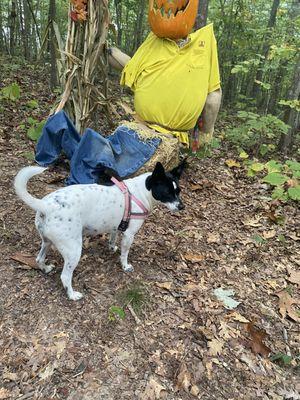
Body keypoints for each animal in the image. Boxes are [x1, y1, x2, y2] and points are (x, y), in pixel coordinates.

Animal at [15, 161, 186, 298]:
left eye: (178, 191)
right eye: (167, 192)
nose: (182, 207)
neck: (140, 191)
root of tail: (48, 205)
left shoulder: (115, 227)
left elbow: (112, 238)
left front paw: (112, 247)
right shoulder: (129, 235)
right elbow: (124, 254)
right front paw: (125, 266)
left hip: (47, 242)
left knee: (39, 258)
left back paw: (45, 268)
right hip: (73, 250)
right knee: (65, 276)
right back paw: (72, 295)